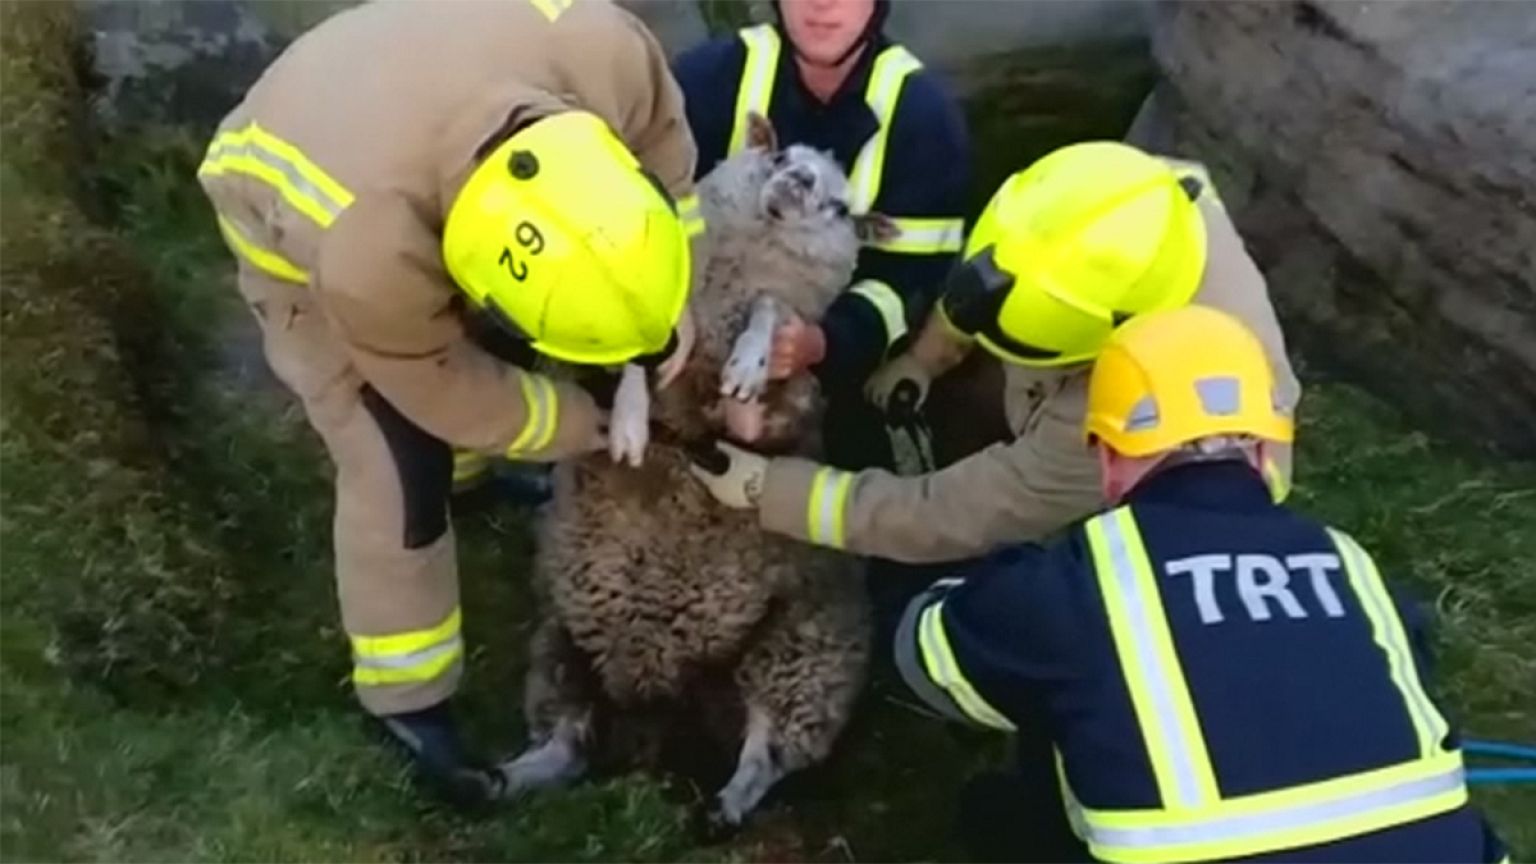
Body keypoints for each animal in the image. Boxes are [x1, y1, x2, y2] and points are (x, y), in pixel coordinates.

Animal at [496, 114, 895, 827]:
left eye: (840, 207)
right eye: (781, 155)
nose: (797, 182)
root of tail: (664, 713)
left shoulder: (791, 404)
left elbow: (768, 324)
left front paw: (747, 371)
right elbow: (637, 356)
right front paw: (631, 419)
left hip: (804, 655)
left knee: (767, 750)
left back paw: (725, 808)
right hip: (562, 642)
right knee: (568, 742)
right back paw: (504, 777)